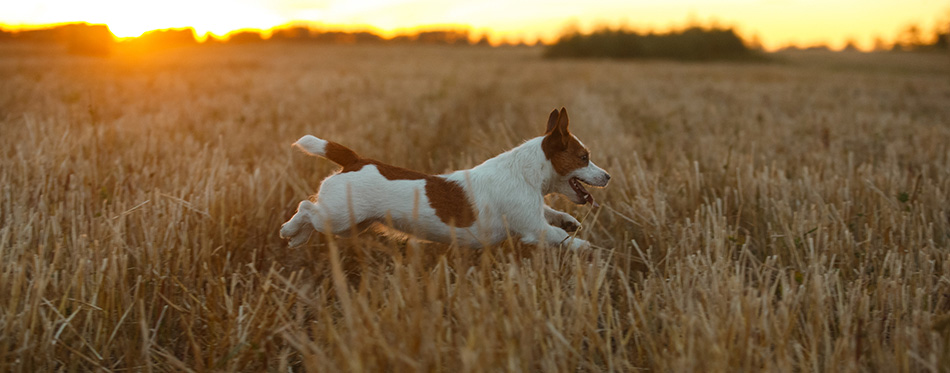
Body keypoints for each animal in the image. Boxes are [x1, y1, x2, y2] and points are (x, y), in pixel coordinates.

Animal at [278, 106, 612, 248]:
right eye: (584, 157)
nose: (608, 176)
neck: (526, 173)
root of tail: (355, 160)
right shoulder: (535, 229)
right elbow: (564, 239)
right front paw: (590, 251)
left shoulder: (536, 213)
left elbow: (552, 212)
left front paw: (569, 220)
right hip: (338, 217)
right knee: (306, 209)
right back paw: (290, 231)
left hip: (353, 225)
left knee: (311, 216)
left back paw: (298, 238)